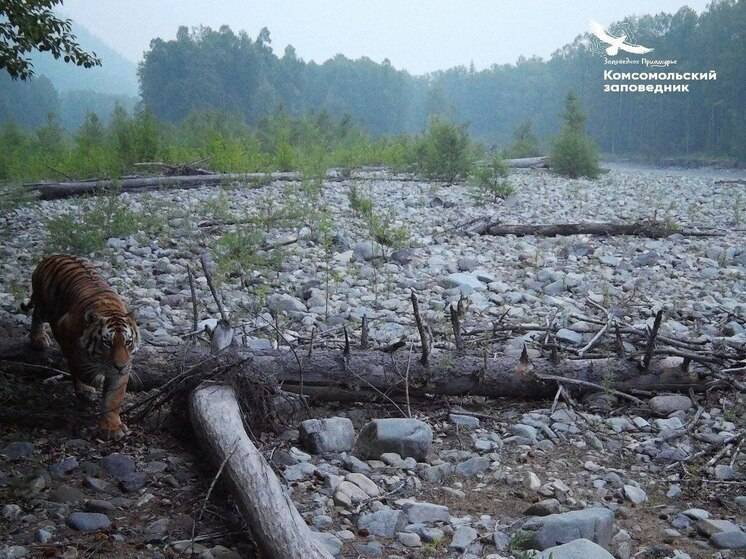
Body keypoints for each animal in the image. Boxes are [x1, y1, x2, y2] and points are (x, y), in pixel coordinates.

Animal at [23, 255, 140, 442]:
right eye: (107, 343)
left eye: (128, 342)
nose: (120, 366)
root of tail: (52, 256)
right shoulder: (64, 332)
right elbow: (79, 367)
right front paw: (91, 383)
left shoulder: (125, 367)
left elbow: (114, 397)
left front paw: (112, 427)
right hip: (45, 305)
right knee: (36, 314)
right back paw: (38, 339)